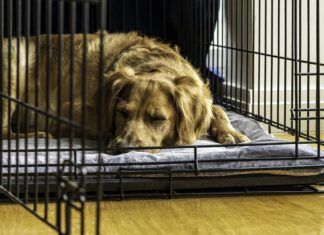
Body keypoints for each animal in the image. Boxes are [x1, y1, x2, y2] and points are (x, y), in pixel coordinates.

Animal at [1, 31, 249, 152]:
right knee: (4, 133)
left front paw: (231, 132)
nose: (123, 147)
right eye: (121, 112)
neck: (154, 65)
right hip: (13, 67)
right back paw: (38, 135)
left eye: (158, 119)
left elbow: (217, 109)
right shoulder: (70, 112)